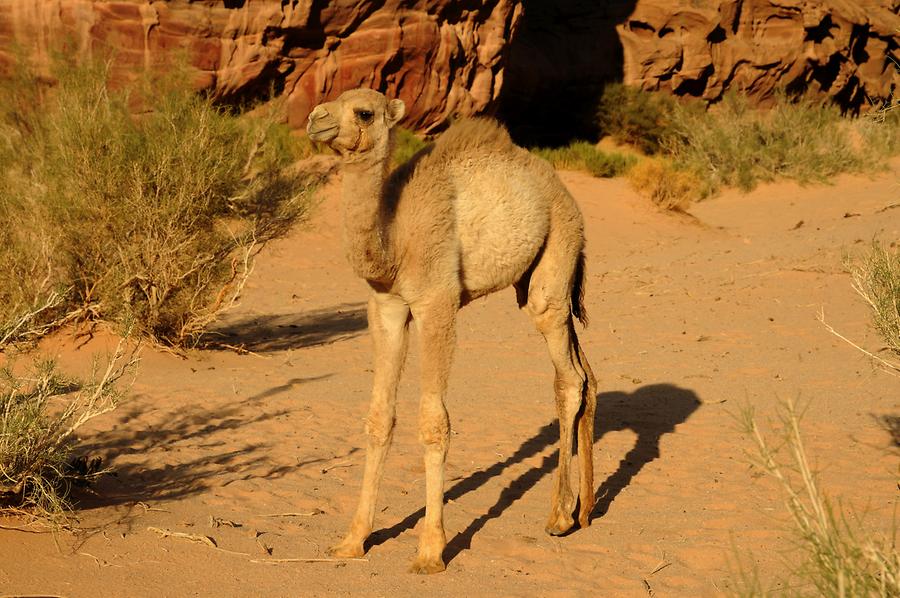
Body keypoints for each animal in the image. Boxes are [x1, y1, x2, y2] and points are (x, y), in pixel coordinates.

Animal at [308, 90, 596, 576]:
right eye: (332, 99)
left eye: (364, 112)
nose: (315, 119)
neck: (396, 238)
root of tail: (563, 189)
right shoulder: (386, 307)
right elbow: (379, 419)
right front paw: (352, 540)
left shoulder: (437, 303)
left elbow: (433, 423)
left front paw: (430, 551)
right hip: (538, 278)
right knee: (588, 376)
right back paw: (587, 510)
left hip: (559, 252)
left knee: (569, 377)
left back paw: (559, 517)